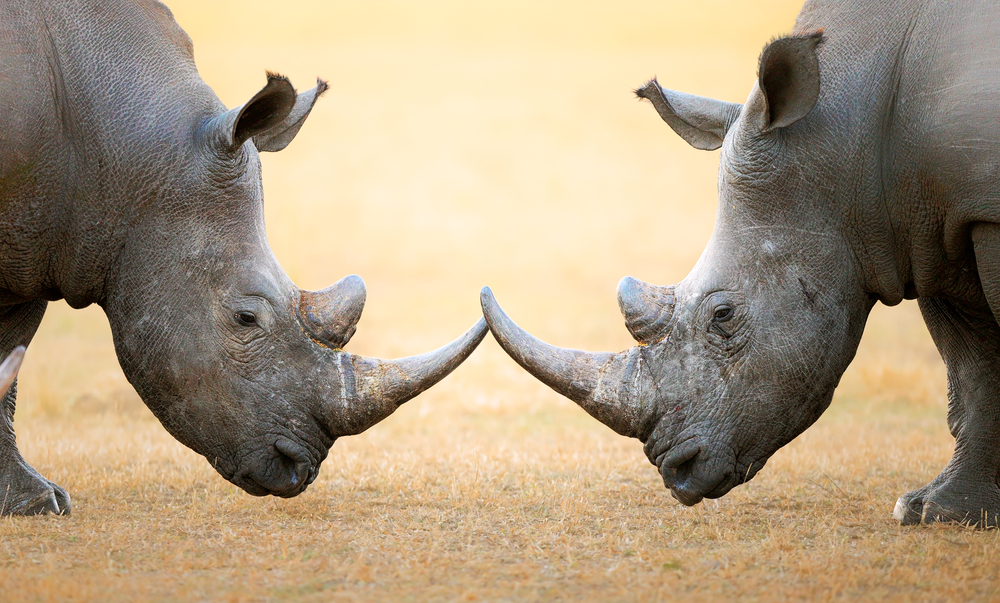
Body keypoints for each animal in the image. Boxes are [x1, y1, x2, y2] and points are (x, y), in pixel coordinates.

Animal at [0, 0, 487, 516]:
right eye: (245, 318)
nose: (297, 468)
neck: (122, 155)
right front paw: (36, 503)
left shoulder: (38, 245)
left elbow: (11, 353)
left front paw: (32, 503)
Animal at [482, 0, 1000, 526]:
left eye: (723, 316)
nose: (677, 471)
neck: (847, 137)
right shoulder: (927, 229)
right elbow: (973, 372)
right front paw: (937, 512)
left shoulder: (978, 215)